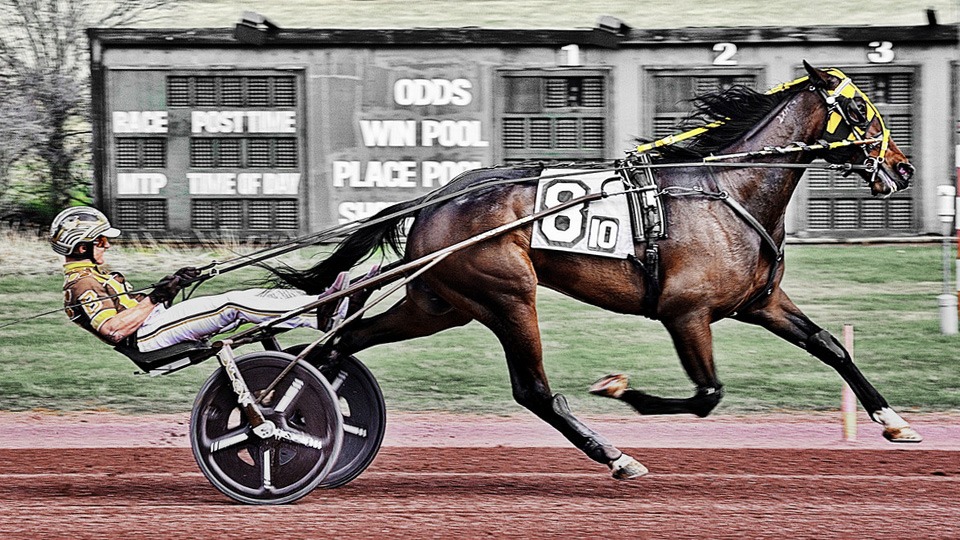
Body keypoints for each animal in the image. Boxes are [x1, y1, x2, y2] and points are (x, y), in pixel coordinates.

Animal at [273, 61, 920, 479]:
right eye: (857, 106)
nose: (903, 167)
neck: (728, 189)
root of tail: (437, 197)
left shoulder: (758, 302)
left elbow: (831, 345)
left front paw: (894, 422)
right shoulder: (685, 311)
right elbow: (707, 395)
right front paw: (621, 389)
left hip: (440, 302)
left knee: (344, 341)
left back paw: (298, 409)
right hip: (507, 295)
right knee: (534, 390)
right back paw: (615, 456)